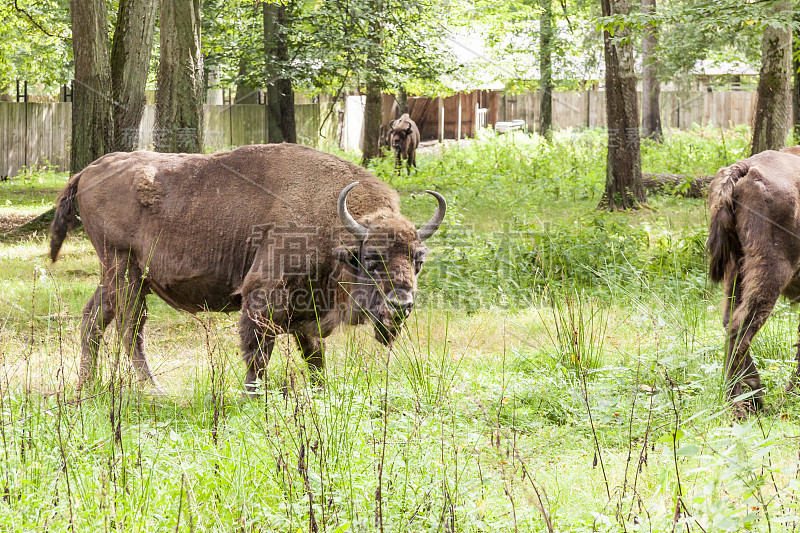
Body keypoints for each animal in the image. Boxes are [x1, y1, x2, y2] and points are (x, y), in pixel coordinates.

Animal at [51, 143, 444, 392]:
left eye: (418, 259)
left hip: (118, 275)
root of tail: (88, 170)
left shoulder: (309, 310)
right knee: (130, 327)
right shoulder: (263, 295)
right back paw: (153, 388)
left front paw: (321, 391)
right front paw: (252, 394)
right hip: (125, 270)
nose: (402, 305)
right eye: (372, 258)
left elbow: (314, 356)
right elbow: (258, 351)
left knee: (94, 317)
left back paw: (86, 383)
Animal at [708, 147, 800, 416]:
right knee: (742, 327)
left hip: (737, 268)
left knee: (730, 321)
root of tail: (745, 167)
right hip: (771, 269)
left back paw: (753, 396)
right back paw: (737, 405)